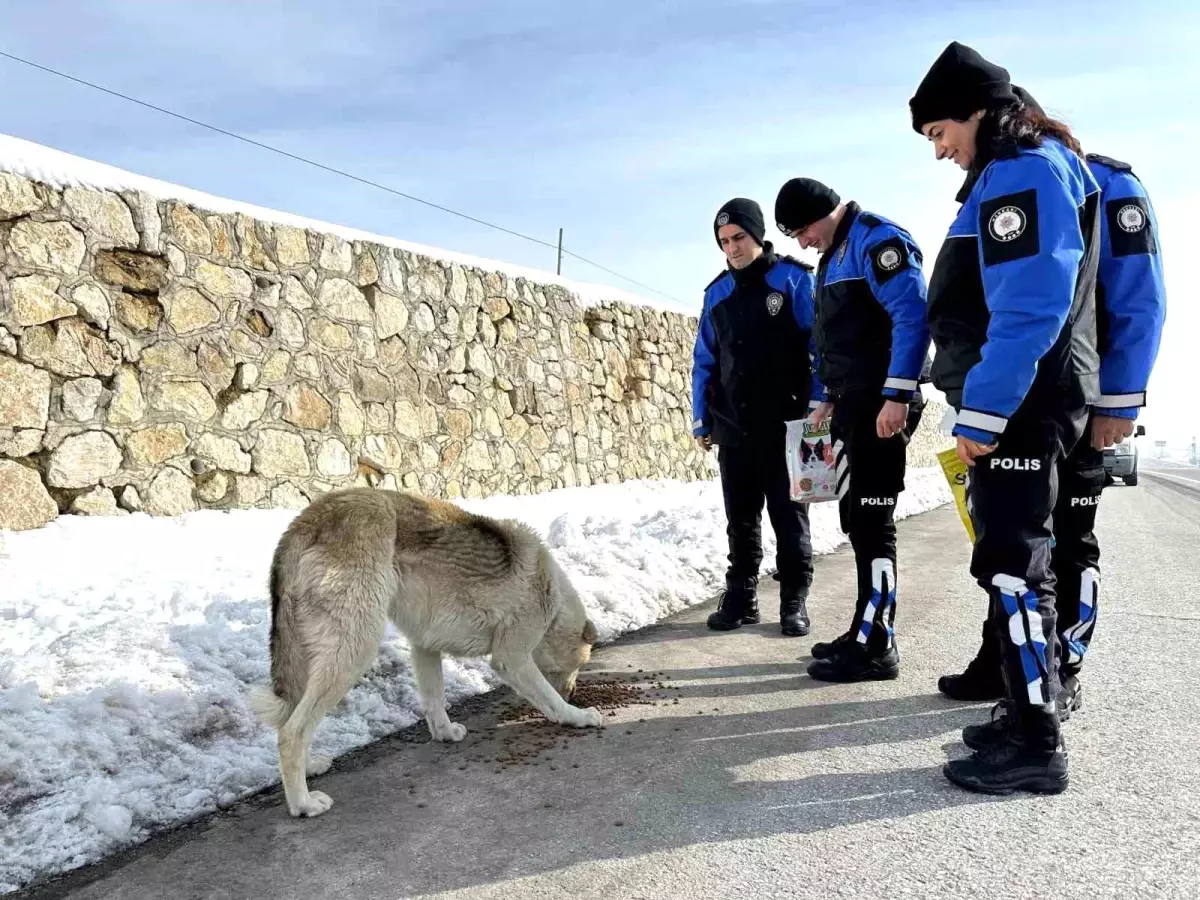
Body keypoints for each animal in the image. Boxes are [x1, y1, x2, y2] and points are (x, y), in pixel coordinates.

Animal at [246, 489, 600, 820]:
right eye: (576, 666)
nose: (572, 692)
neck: (553, 602)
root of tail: (308, 519)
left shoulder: (425, 646)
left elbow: (434, 700)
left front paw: (445, 734)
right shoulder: (511, 659)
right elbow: (548, 700)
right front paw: (577, 716)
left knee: (290, 722)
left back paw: (308, 770)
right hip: (353, 650)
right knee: (292, 733)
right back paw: (303, 804)